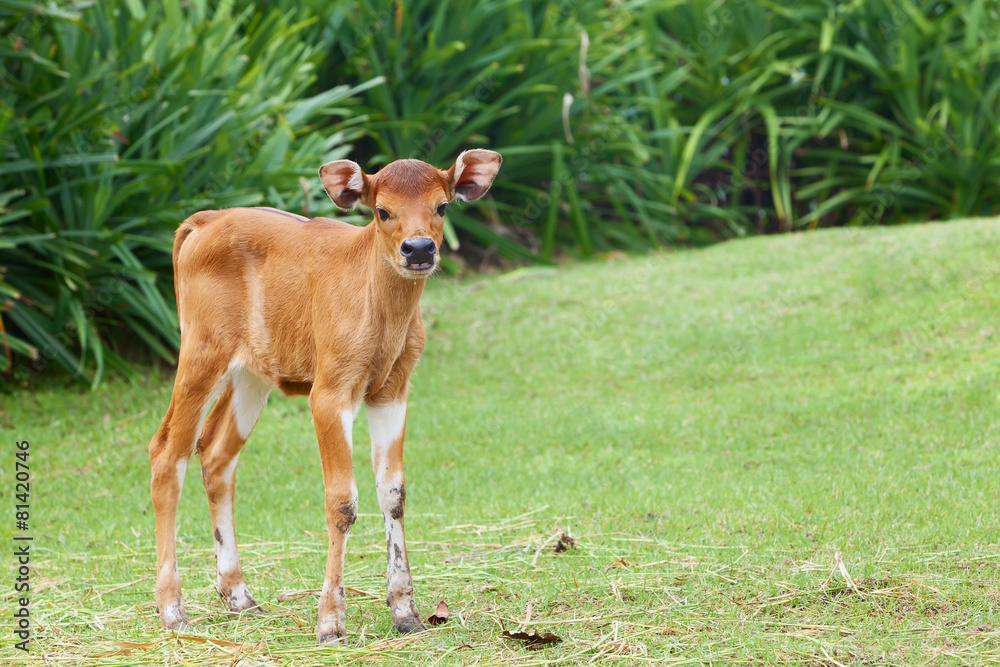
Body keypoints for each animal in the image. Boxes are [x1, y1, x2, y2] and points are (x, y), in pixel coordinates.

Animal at [149, 150, 504, 640]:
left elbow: (393, 491)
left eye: (442, 206)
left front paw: (406, 611)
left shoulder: (393, 388)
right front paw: (330, 622)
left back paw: (240, 596)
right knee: (167, 451)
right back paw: (172, 609)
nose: (418, 249)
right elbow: (342, 501)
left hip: (252, 372)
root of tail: (200, 222)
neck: (380, 323)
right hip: (201, 349)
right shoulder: (330, 390)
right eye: (382, 211)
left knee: (216, 452)